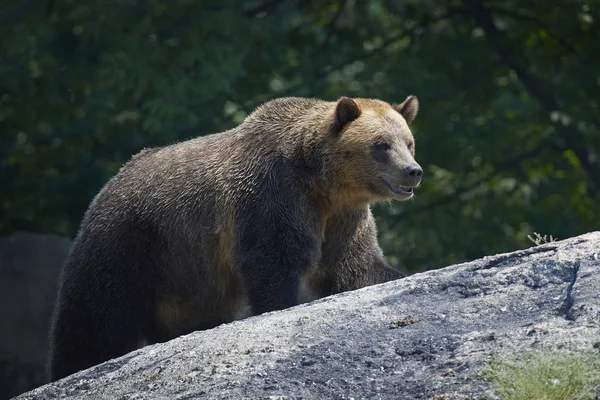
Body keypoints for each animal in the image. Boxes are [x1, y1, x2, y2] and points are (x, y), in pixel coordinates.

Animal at [47, 94, 422, 382]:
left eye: (409, 142)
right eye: (380, 145)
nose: (413, 171)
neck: (324, 184)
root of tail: (109, 185)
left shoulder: (344, 217)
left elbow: (355, 266)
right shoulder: (272, 195)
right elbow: (273, 260)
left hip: (188, 278)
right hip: (131, 242)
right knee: (94, 315)